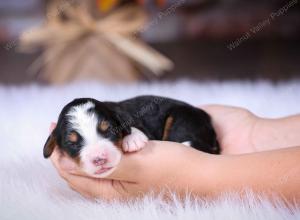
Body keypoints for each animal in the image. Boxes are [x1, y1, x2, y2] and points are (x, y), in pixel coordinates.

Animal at [43, 95, 219, 178]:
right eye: (72, 143)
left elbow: (132, 125)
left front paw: (133, 139)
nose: (99, 159)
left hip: (183, 118)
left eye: (109, 130)